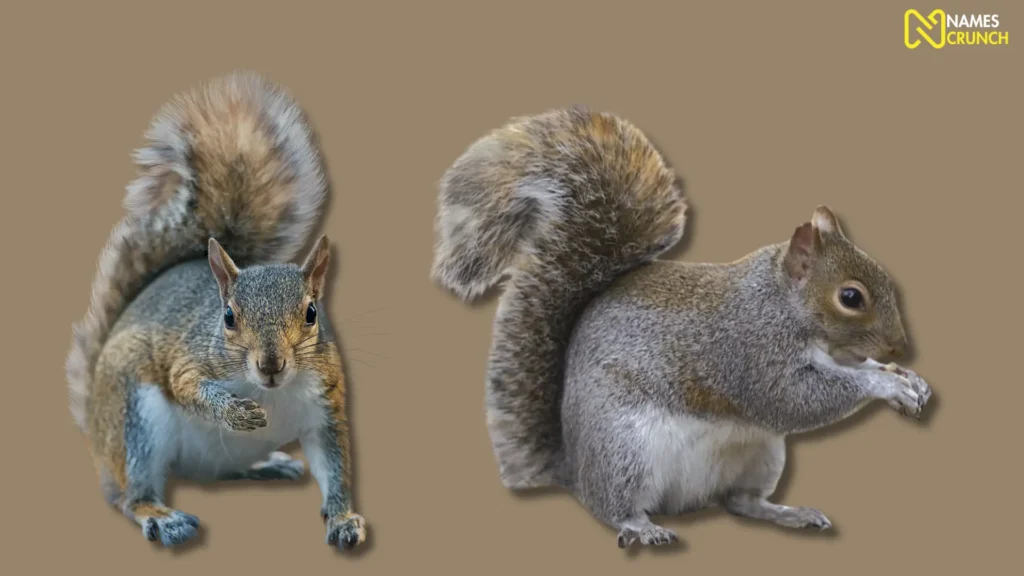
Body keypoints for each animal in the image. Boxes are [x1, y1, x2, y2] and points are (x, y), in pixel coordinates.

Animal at [66, 72, 366, 550]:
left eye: (312, 313)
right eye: (227, 317)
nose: (270, 366)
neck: (272, 392)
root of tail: (96, 426)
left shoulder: (327, 405)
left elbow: (335, 468)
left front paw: (342, 519)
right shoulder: (190, 359)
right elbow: (186, 385)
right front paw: (236, 412)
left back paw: (267, 464)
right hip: (134, 421)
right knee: (132, 497)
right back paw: (163, 517)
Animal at [431, 106, 933, 549]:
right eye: (851, 297)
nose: (900, 348)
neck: (780, 304)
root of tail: (573, 467)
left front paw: (907, 379)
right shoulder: (749, 350)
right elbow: (794, 399)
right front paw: (884, 384)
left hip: (761, 455)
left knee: (739, 501)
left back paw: (788, 513)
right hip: (625, 448)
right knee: (613, 505)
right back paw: (641, 527)